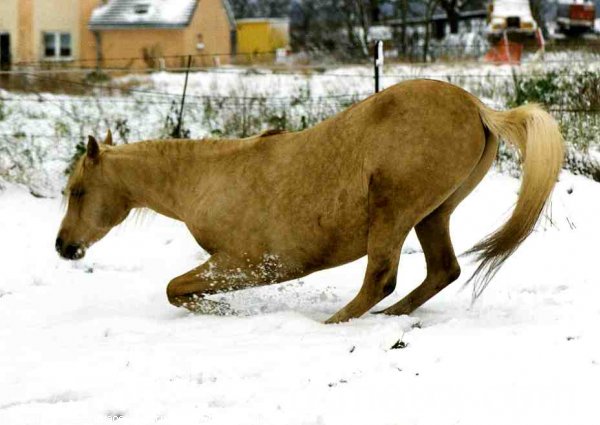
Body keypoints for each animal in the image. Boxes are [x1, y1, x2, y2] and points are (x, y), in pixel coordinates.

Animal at [55, 78, 564, 322]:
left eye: (77, 191)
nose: (64, 247)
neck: (206, 178)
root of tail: (479, 108)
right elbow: (179, 289)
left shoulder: (246, 262)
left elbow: (176, 289)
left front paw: (223, 312)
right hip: (433, 214)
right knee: (442, 271)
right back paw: (389, 318)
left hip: (394, 211)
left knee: (381, 279)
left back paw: (335, 324)